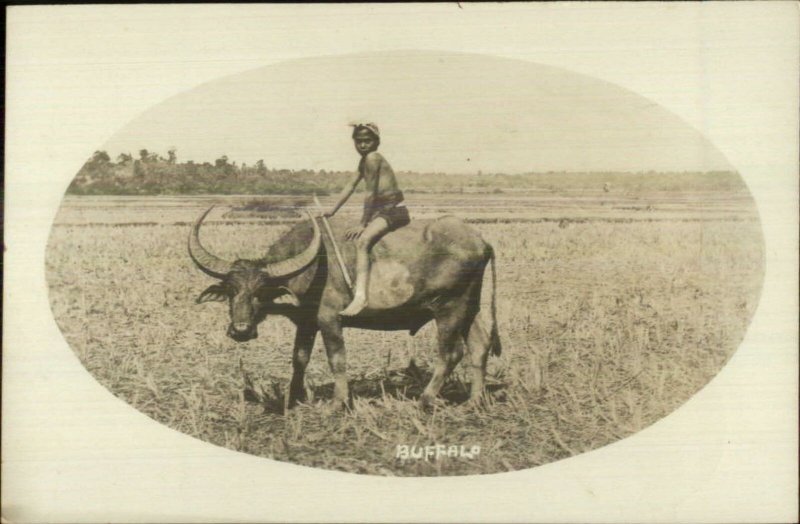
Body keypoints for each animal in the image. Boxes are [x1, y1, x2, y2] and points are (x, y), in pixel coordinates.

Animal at [189, 207, 500, 408]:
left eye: (260, 291)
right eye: (231, 290)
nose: (240, 330)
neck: (313, 267)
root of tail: (481, 240)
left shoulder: (329, 319)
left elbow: (336, 359)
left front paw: (338, 403)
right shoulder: (306, 322)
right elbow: (299, 358)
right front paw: (293, 398)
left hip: (449, 308)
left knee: (451, 353)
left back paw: (424, 399)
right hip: (469, 308)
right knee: (479, 346)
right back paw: (474, 401)